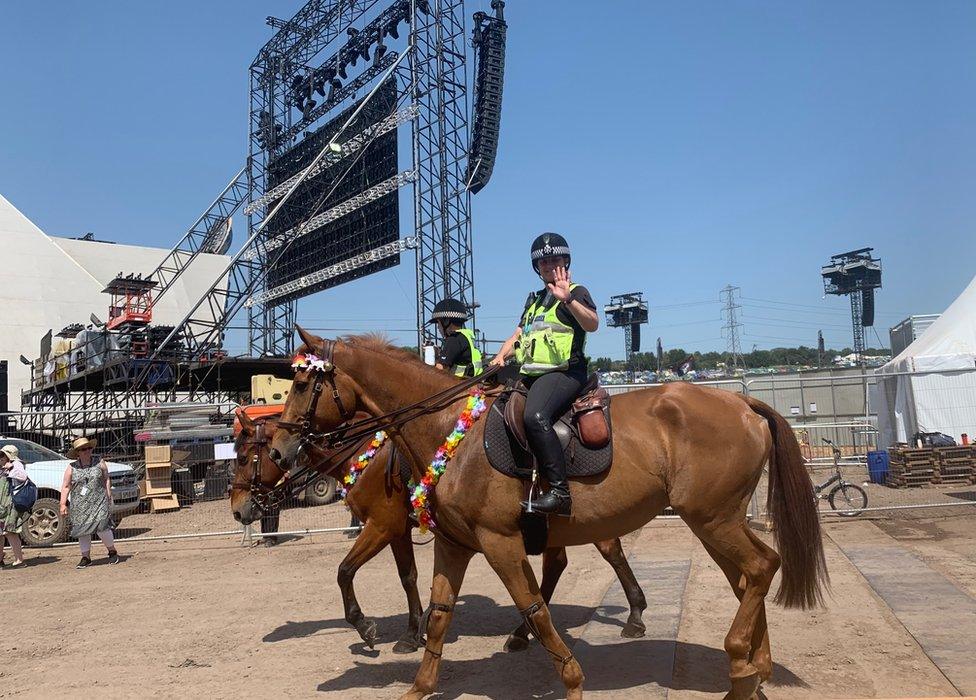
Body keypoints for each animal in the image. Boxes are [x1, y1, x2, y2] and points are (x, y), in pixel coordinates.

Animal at [231, 410, 648, 656]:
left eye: (244, 456)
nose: (238, 509)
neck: (364, 453)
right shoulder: (398, 530)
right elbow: (408, 576)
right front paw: (415, 629)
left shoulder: (381, 525)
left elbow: (345, 570)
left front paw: (366, 627)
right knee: (557, 564)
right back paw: (524, 630)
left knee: (610, 551)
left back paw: (634, 614)